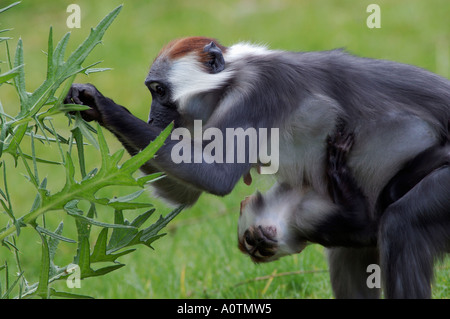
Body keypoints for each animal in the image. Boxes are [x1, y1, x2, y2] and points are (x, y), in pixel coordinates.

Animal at [65, 37, 450, 300]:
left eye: (159, 91)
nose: (151, 118)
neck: (233, 78)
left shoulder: (258, 94)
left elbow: (215, 177)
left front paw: (103, 104)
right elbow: (186, 193)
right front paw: (88, 105)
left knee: (401, 224)